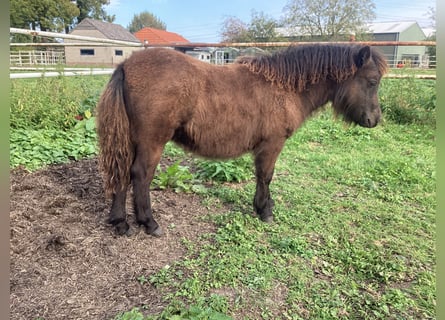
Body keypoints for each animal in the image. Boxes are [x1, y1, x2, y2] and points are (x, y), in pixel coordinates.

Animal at [96, 43, 386, 236]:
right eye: (372, 81)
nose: (374, 120)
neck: (285, 88)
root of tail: (126, 66)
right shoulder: (272, 144)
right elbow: (265, 176)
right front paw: (265, 211)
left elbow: (263, 177)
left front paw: (263, 206)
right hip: (152, 142)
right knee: (140, 175)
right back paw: (149, 223)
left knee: (122, 172)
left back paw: (121, 223)